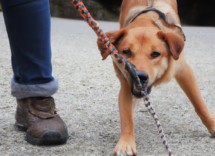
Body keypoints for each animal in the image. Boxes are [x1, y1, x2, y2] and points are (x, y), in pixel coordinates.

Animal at [97, 0, 215, 155]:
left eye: (155, 54)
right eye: (126, 51)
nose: (139, 76)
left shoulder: (184, 71)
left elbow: (199, 103)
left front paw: (212, 126)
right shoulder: (127, 85)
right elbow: (127, 118)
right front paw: (126, 142)